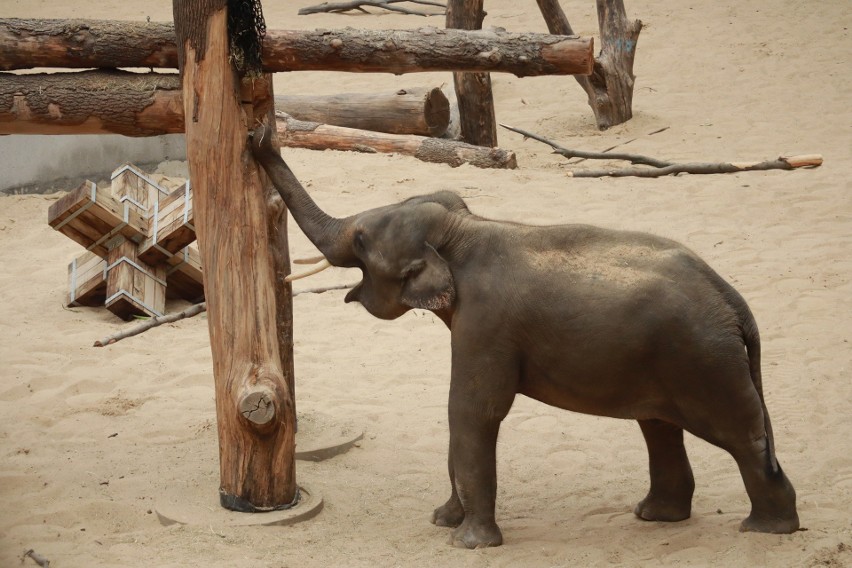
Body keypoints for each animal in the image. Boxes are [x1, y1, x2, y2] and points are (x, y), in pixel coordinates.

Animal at [248, 122, 800, 548]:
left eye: (361, 240)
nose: (259, 135)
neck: (463, 229)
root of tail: (734, 302)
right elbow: (463, 413)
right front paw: (442, 521)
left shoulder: (485, 323)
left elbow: (472, 408)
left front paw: (467, 542)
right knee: (660, 426)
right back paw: (658, 516)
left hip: (704, 360)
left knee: (740, 434)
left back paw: (767, 529)